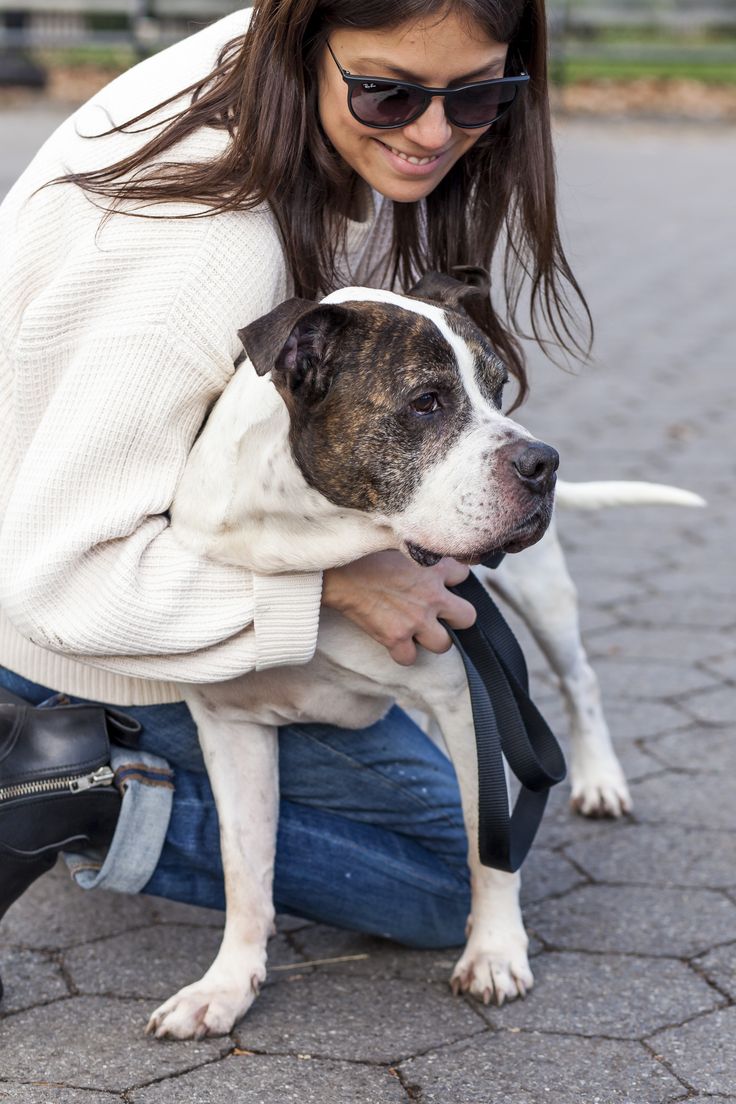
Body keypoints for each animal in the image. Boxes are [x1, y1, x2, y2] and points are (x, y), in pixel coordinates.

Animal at [145, 271, 701, 1037]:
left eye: (499, 389)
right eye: (427, 402)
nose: (543, 460)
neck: (308, 547)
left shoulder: (470, 702)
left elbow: (484, 843)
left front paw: (494, 953)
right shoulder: (230, 729)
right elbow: (244, 869)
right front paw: (225, 986)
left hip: (541, 593)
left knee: (580, 680)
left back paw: (599, 780)